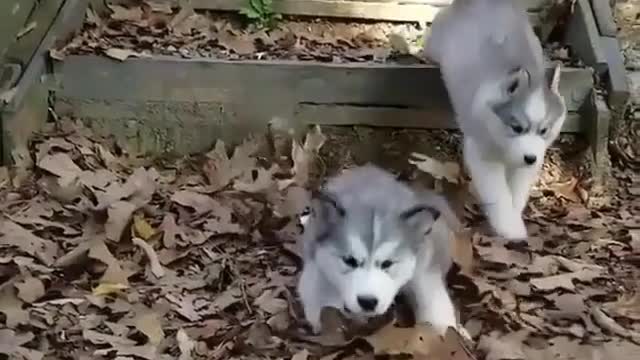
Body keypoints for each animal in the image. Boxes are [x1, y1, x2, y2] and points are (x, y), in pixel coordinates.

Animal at [298, 165, 462, 336]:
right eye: (350, 260)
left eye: (387, 263)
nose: (367, 302)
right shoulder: (317, 269)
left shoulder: (424, 269)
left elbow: (433, 300)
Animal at [424, 0, 564, 242]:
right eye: (516, 127)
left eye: (544, 130)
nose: (530, 158)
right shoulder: (482, 155)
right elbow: (498, 193)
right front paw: (508, 226)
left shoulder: (527, 163)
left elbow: (517, 191)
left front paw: (514, 214)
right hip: (439, 37)